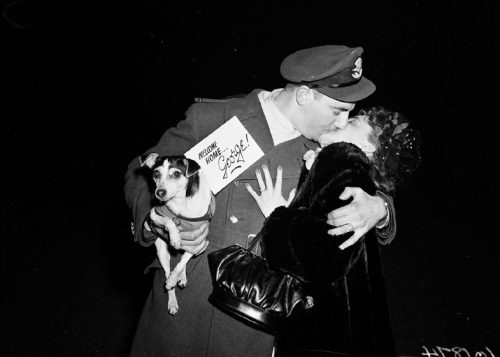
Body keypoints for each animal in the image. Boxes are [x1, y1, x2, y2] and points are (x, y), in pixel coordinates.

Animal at [141, 153, 215, 314]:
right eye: (156, 174)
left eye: (176, 174)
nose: (159, 192)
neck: (180, 203)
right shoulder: (154, 215)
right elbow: (169, 221)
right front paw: (174, 237)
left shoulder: (197, 244)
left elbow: (181, 264)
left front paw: (176, 277)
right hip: (162, 253)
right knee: (167, 271)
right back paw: (172, 300)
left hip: (202, 246)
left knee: (182, 260)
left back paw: (180, 278)